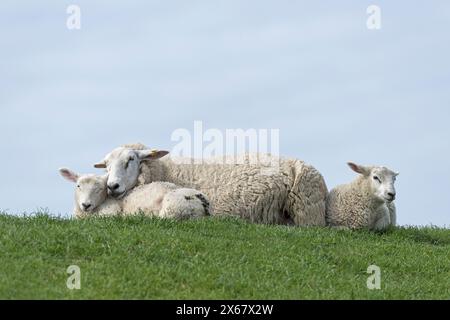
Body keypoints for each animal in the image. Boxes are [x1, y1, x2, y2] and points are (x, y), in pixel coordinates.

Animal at [92, 142, 330, 228]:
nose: (112, 186)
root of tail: (296, 164)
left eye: (131, 160)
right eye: (106, 166)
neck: (166, 169)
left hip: (306, 214)